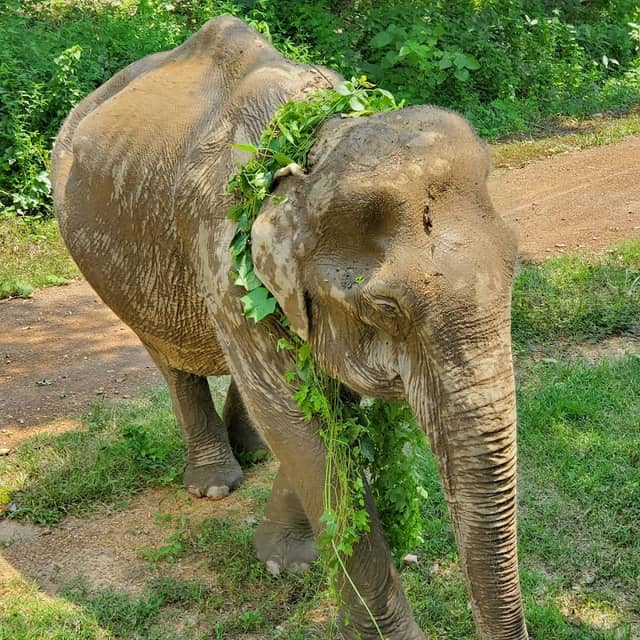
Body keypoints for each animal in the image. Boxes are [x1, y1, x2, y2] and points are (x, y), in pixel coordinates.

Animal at [51, 15, 528, 640]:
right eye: (386, 308)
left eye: (516, 263)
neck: (312, 142)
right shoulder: (222, 256)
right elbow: (300, 424)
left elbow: (323, 407)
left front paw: (286, 560)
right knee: (171, 360)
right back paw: (214, 483)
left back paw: (250, 449)